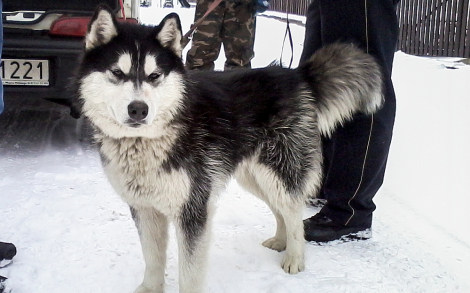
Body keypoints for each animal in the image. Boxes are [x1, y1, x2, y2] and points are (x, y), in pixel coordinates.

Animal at [72, 5, 382, 292]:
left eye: (154, 75)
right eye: (117, 72)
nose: (138, 109)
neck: (150, 140)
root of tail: (297, 75)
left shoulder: (194, 210)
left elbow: (190, 274)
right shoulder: (144, 208)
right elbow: (153, 259)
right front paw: (149, 288)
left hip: (278, 171)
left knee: (294, 212)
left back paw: (295, 257)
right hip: (254, 176)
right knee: (281, 209)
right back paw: (279, 241)